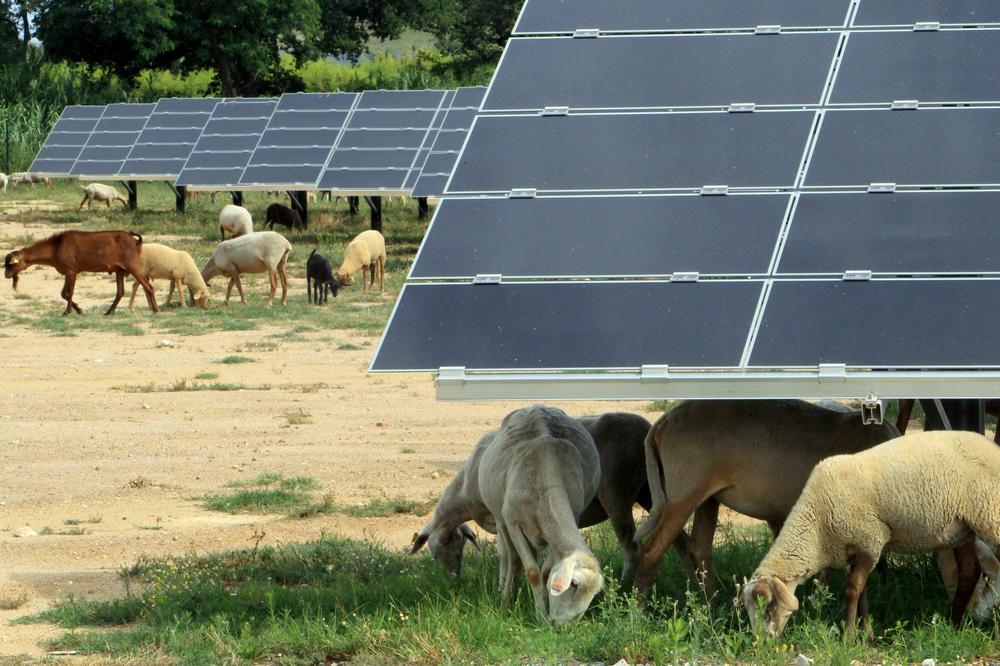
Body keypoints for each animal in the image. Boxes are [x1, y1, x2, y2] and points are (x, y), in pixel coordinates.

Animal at [3, 228, 157, 314]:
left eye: (10, 265)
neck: (56, 246)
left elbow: (68, 293)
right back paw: (109, 312)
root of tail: (135, 241)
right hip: (120, 269)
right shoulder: (68, 272)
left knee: (148, 286)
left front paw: (68, 311)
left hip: (132, 265)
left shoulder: (71, 271)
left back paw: (155, 310)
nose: (6, 275)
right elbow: (63, 294)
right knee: (120, 292)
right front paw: (79, 310)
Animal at [410, 408, 676, 584]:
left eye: (452, 542)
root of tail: (647, 429)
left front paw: (503, 584)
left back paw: (624, 587)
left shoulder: (500, 516)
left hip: (616, 495)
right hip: (649, 491)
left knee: (631, 547)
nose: (452, 578)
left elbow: (505, 555)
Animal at [476, 402, 600, 624]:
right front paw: (540, 616)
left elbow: (546, 571)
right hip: (501, 520)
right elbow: (532, 571)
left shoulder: (562, 525)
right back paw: (506, 596)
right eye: (574, 584)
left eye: (594, 594)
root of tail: (535, 406)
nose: (565, 628)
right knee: (511, 559)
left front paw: (540, 610)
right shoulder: (513, 522)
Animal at [636, 400, 904, 596]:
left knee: (699, 550)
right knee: (650, 551)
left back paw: (714, 603)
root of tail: (664, 421)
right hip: (685, 496)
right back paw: (639, 610)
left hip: (709, 498)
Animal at [740, 428, 996, 636]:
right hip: (961, 529)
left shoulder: (871, 539)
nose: (763, 643)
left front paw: (848, 637)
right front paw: (866, 636)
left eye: (767, 606)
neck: (815, 523)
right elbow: (862, 592)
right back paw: (954, 625)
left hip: (990, 515)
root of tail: (991, 445)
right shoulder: (853, 547)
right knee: (969, 570)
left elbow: (852, 589)